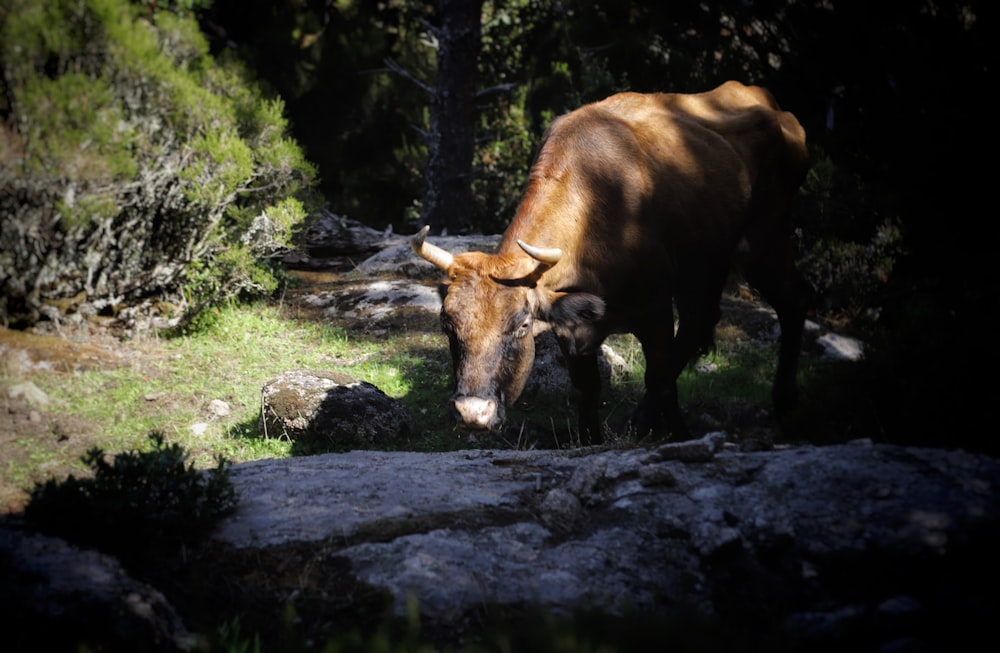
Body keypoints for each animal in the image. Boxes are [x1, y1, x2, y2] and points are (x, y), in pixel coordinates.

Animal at [410, 80, 808, 438]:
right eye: (446, 323)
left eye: (521, 325)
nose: (472, 412)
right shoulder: (571, 328)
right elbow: (587, 390)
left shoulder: (655, 308)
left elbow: (660, 378)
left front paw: (678, 434)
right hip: (705, 260)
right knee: (701, 320)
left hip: (764, 239)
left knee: (791, 306)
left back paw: (786, 404)